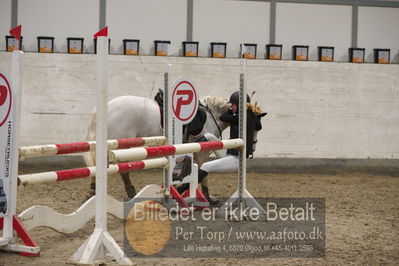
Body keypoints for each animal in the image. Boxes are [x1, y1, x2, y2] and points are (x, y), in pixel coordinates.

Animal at [85, 95, 233, 197]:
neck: (211, 115)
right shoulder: (202, 150)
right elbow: (204, 171)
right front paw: (207, 196)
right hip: (122, 146)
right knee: (123, 170)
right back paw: (131, 192)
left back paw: (93, 189)